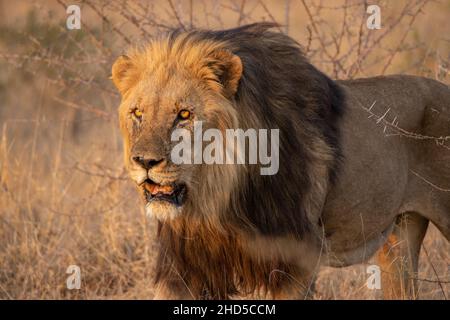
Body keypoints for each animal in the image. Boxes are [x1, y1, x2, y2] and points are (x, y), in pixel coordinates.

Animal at [111, 23, 450, 300]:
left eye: (184, 115)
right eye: (138, 113)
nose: (144, 161)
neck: (216, 198)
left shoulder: (295, 261)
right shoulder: (185, 265)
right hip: (399, 238)